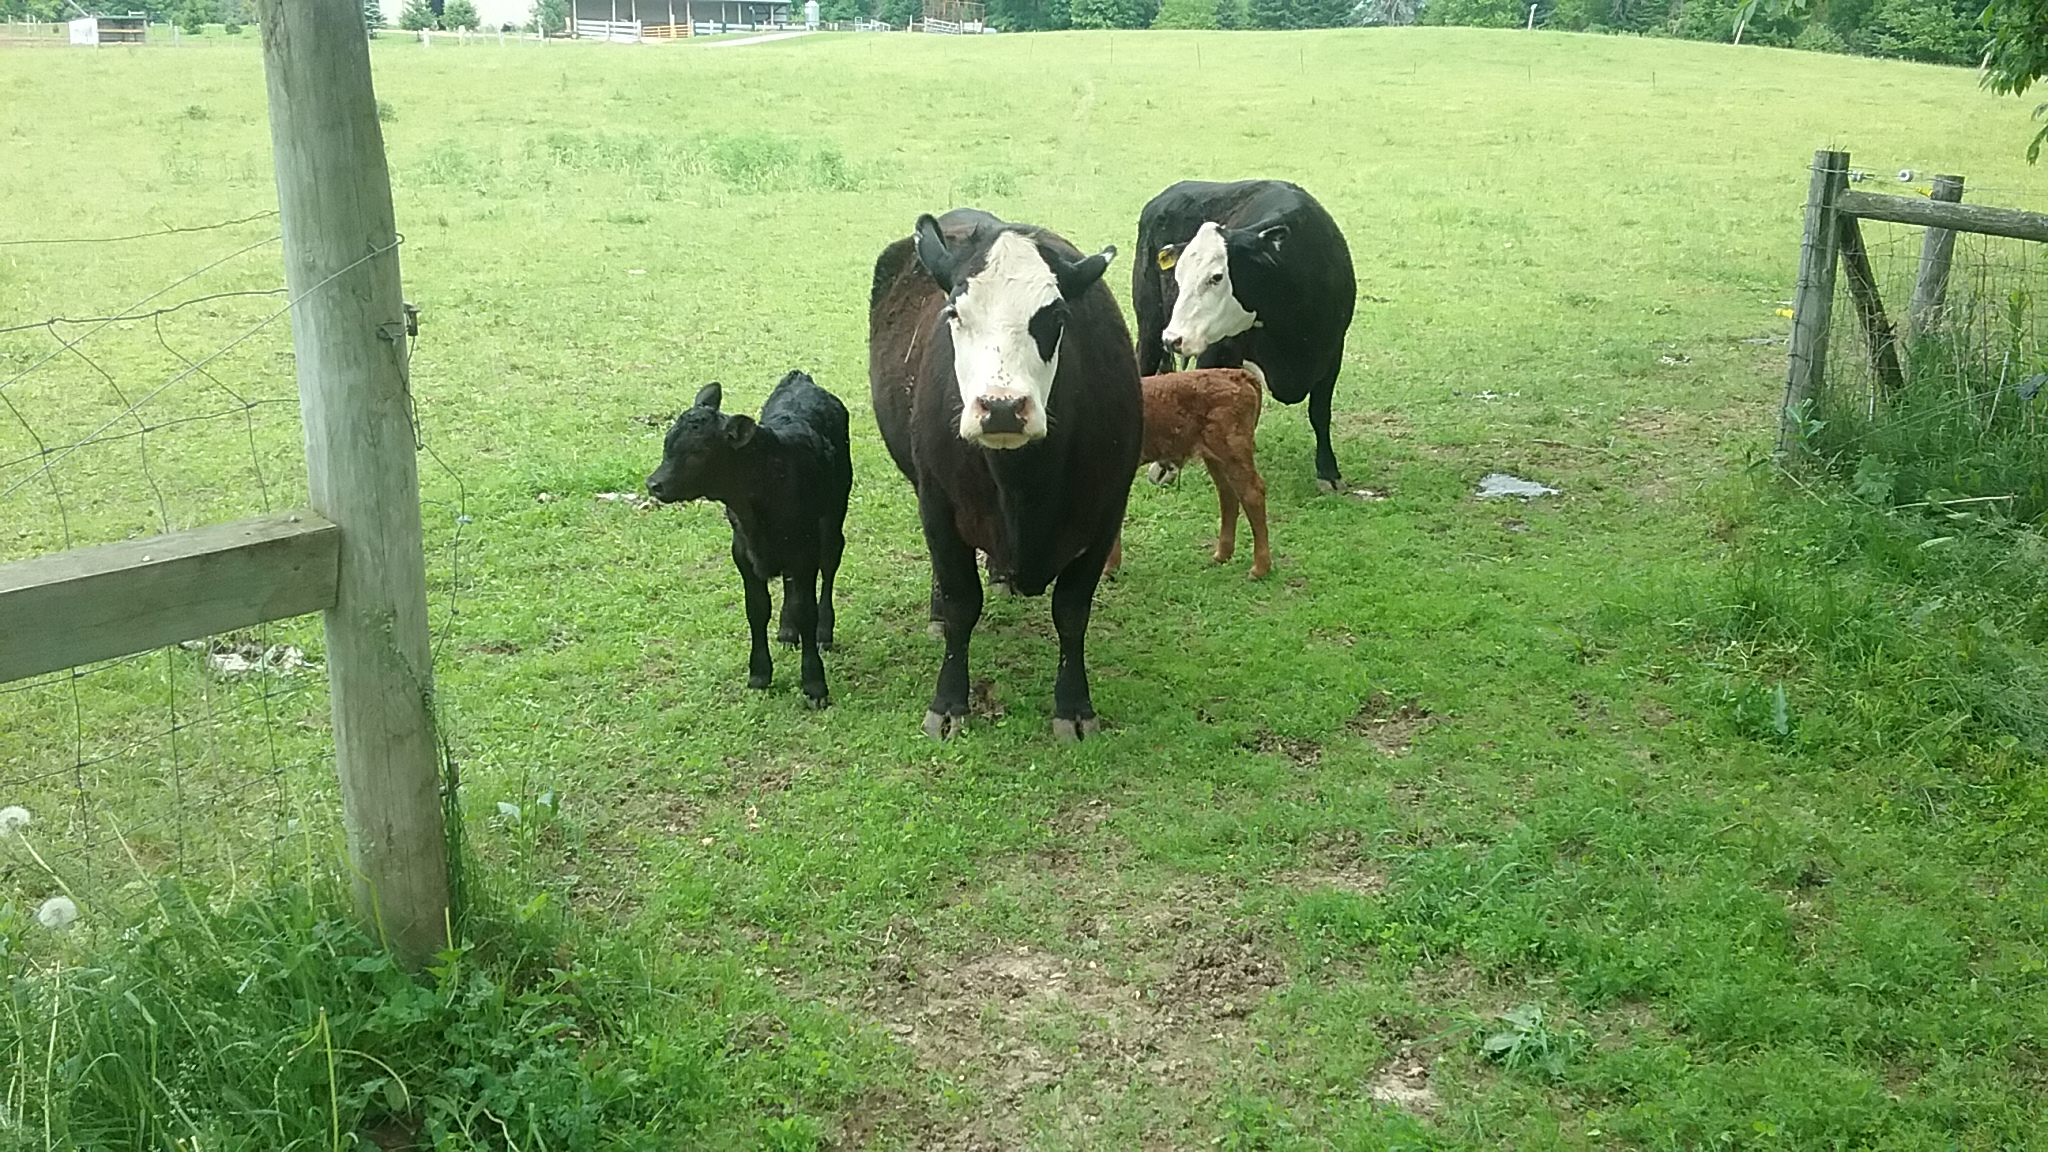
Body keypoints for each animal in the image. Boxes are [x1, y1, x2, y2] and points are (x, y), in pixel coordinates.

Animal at [645, 371, 851, 709]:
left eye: (698, 452)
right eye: (667, 443)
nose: (654, 484)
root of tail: (801, 378)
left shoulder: (803, 552)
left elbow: (805, 610)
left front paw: (814, 684)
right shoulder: (742, 551)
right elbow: (757, 609)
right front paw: (759, 675)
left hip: (833, 516)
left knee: (830, 562)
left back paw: (824, 631)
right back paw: (786, 631)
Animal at [870, 209, 1141, 741]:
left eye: (1056, 318)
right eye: (954, 314)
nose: (1000, 407)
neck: (1025, 486)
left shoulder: (1107, 511)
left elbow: (1071, 610)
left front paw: (1074, 706)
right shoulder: (937, 502)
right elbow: (961, 603)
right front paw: (948, 702)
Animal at [1132, 179, 1356, 492]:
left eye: (1216, 277)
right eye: (1178, 276)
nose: (1173, 338)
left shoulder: (1333, 350)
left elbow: (1320, 412)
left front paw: (1328, 472)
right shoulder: (1216, 351)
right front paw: (1166, 465)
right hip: (1150, 324)